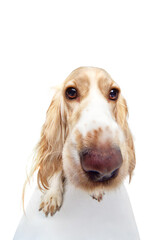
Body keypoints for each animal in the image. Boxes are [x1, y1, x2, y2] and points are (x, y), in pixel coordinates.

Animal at [24, 66, 136, 217]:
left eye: (113, 93)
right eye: (71, 92)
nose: (104, 165)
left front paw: (97, 189)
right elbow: (56, 169)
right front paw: (52, 195)